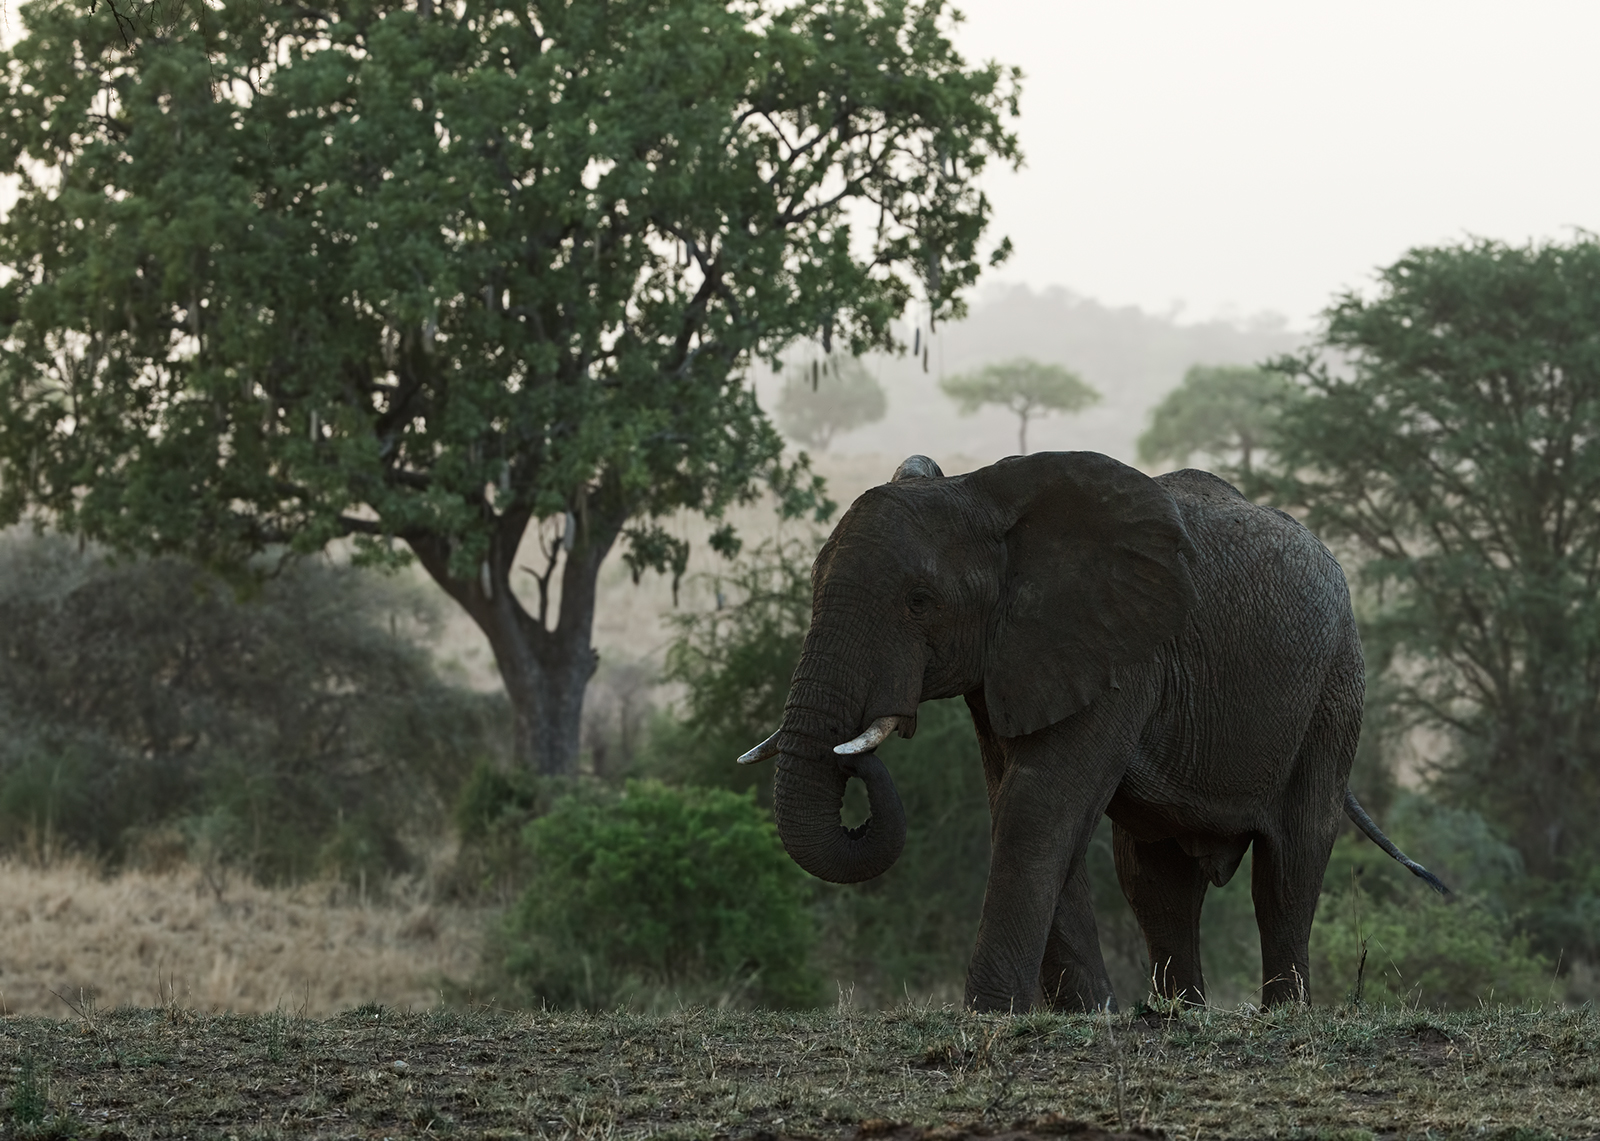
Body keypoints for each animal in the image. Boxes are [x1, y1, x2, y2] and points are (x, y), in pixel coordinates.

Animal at [737, 451, 1445, 1012]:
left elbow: (1037, 804)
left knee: (1290, 862)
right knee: (1155, 880)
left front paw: (993, 1014)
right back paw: (1180, 1015)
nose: (855, 748)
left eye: (919, 601)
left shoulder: (1124, 652)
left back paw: (1283, 1014)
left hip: (1335, 688)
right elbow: (1029, 808)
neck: (983, 492)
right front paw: (1090, 1014)